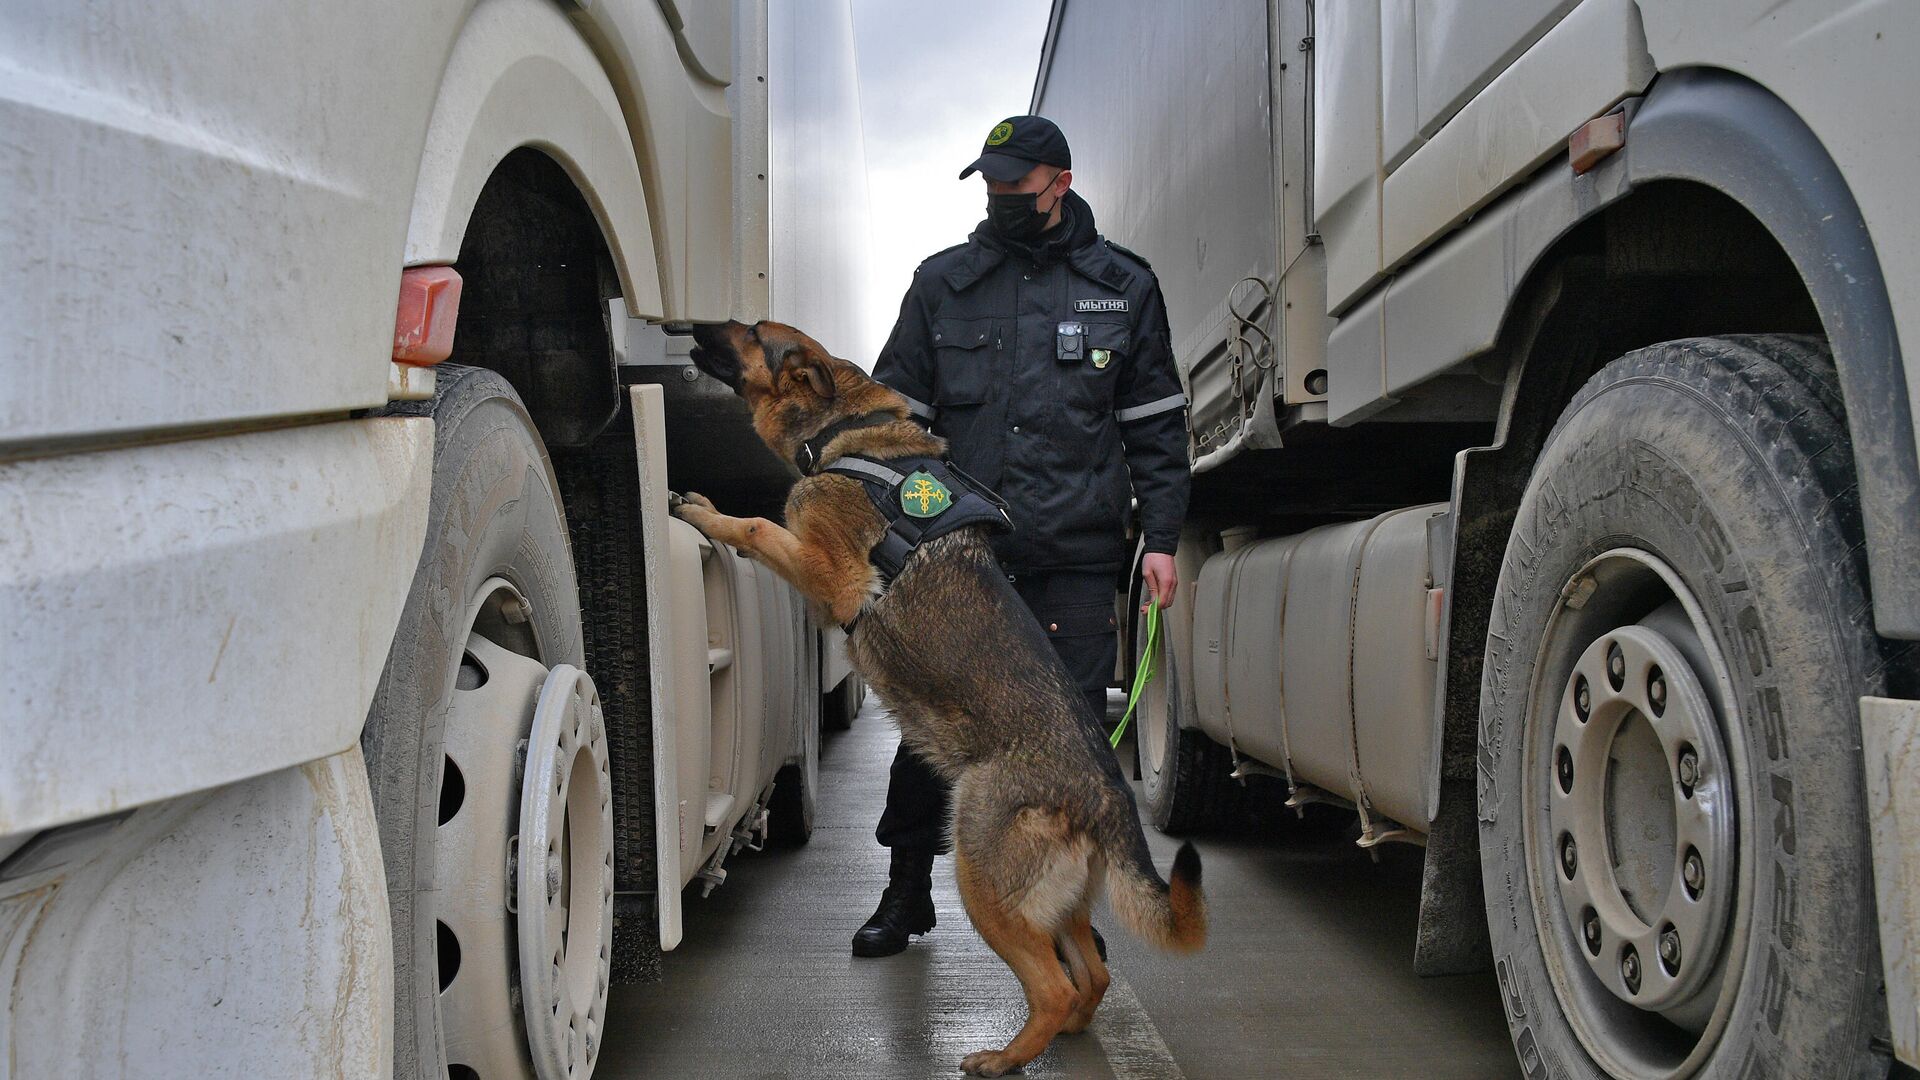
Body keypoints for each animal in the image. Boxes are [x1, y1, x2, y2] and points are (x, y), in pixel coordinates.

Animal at [675, 317, 1205, 1068]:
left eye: (750, 331)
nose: (685, 326)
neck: (847, 428)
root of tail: (1106, 793)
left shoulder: (827, 575)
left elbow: (753, 527)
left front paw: (706, 513)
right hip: (1054, 900)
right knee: (1093, 975)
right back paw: (1069, 1031)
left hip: (981, 879)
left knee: (1055, 987)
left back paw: (1004, 1058)